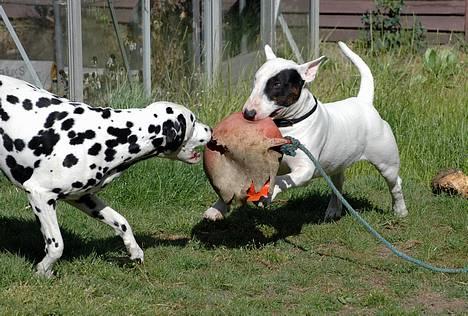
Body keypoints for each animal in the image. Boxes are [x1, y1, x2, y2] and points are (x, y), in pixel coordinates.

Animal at [203, 40, 408, 221]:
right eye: (255, 80)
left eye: (276, 84)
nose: (248, 113)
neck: (287, 125)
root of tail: (363, 102)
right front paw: (217, 209)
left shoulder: (305, 169)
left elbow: (280, 179)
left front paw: (269, 194)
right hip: (338, 161)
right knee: (338, 183)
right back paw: (333, 210)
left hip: (386, 160)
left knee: (395, 183)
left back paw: (400, 210)